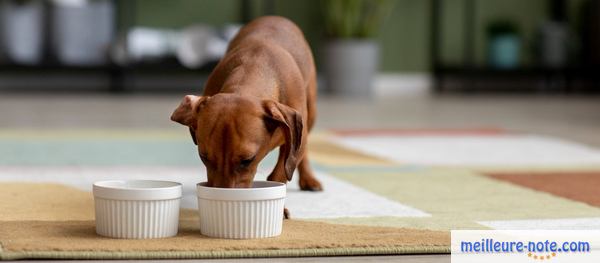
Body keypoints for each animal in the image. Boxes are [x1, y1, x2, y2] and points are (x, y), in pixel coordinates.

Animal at [170, 16, 318, 194]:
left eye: (247, 160)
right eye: (203, 157)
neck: (256, 66)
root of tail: (275, 17)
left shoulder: (294, 142)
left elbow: (281, 172)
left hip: (311, 114)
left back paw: (308, 177)